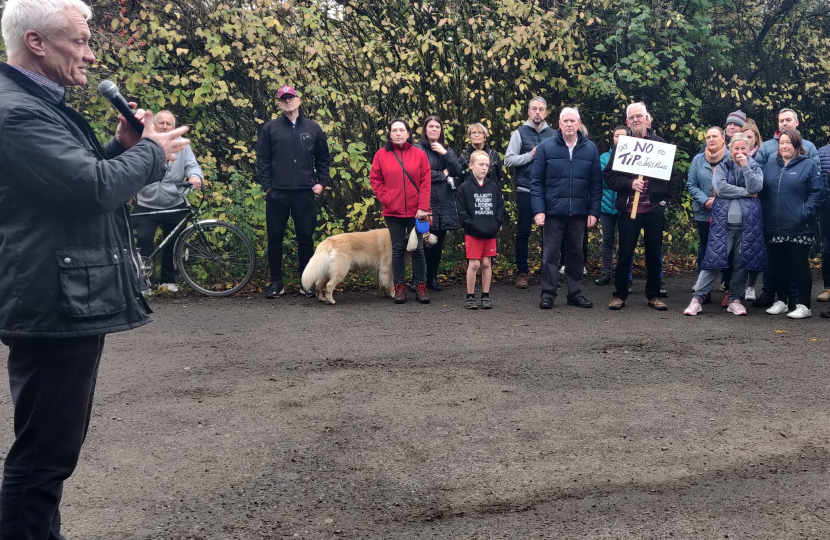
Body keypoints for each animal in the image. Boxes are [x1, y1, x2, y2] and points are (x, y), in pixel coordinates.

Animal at [302, 228, 438, 304]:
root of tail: (328, 241)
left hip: (326, 271)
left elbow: (383, 283)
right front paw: (393, 294)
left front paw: (387, 294)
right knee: (329, 285)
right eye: (426, 233)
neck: (404, 239)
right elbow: (390, 283)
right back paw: (330, 300)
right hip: (340, 271)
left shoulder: (381, 271)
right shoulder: (387, 269)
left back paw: (321, 298)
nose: (437, 237)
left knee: (319, 284)